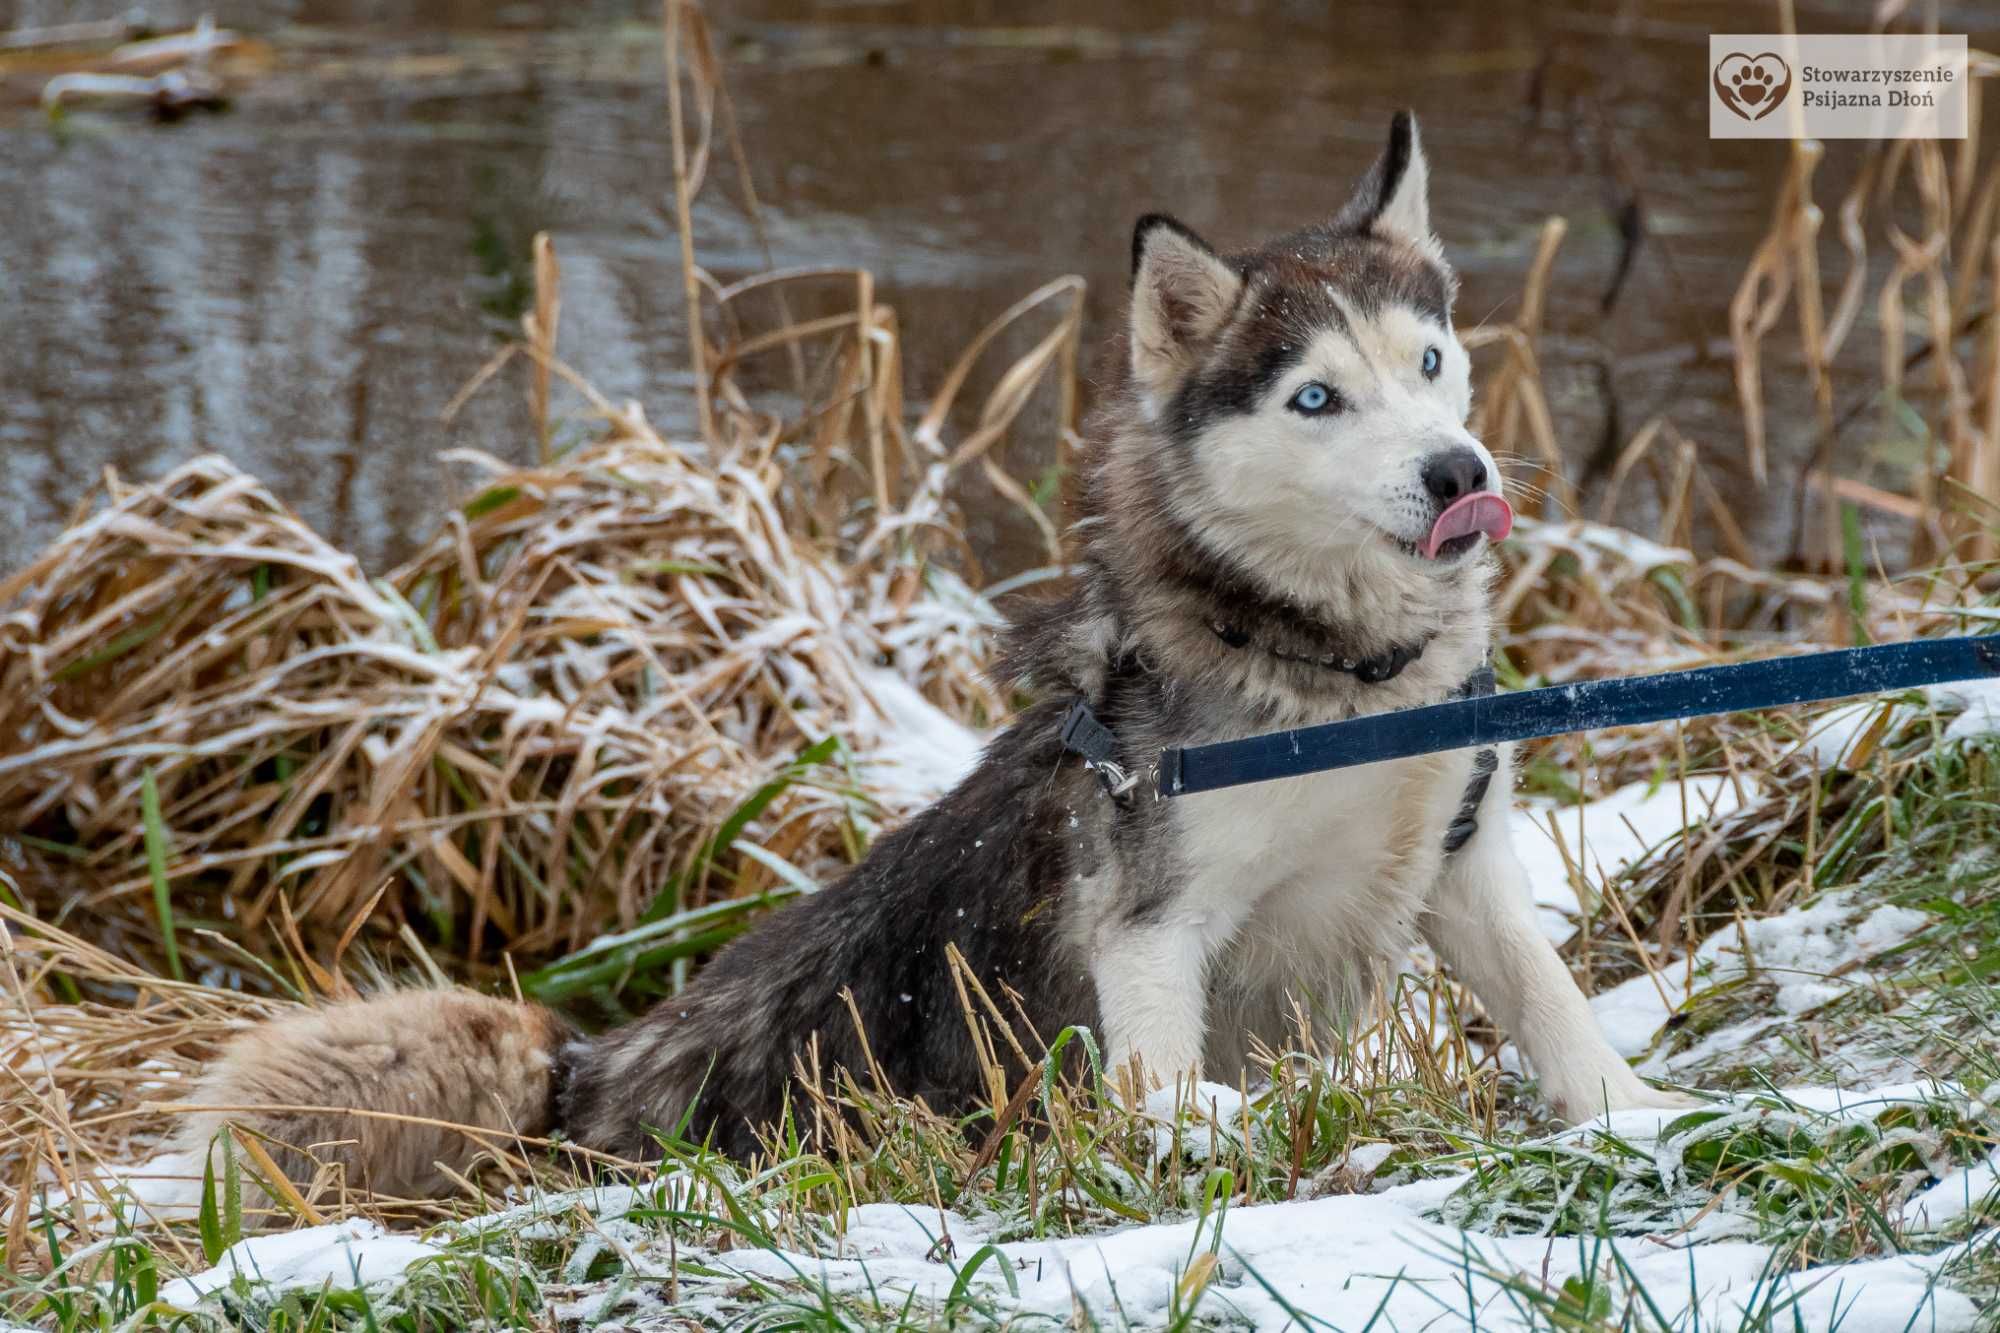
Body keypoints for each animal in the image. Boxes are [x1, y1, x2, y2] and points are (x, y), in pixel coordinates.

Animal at [164, 114, 1680, 1192]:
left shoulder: (1461, 867)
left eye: (1429, 360)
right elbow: (1161, 1073)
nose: (1457, 472)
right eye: (1316, 397)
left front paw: (1637, 1117)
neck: (1342, 679)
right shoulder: (1150, 925)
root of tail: (583, 1084)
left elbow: (1552, 1008)